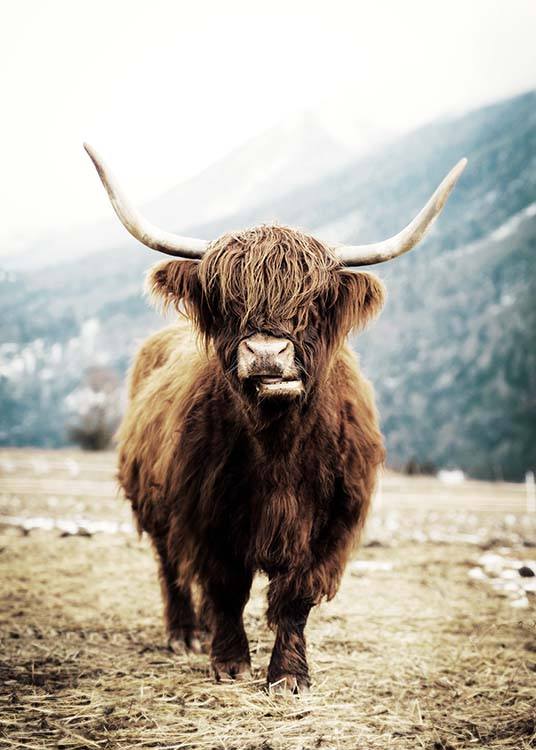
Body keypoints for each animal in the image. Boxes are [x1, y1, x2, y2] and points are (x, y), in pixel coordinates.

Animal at [85, 144, 466, 692]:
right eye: (226, 301)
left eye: (313, 301)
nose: (267, 353)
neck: (279, 446)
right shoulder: (206, 514)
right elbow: (224, 587)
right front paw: (229, 663)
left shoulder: (331, 526)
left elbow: (295, 598)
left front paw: (288, 675)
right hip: (153, 504)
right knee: (171, 566)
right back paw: (185, 633)